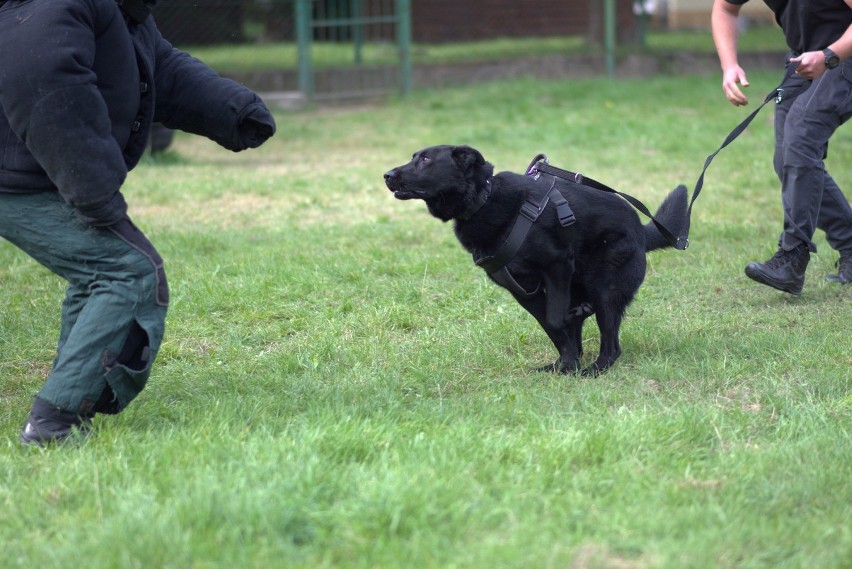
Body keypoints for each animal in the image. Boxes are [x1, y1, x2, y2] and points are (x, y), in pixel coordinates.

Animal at [382, 144, 688, 374]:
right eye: (414, 157)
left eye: (426, 159)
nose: (387, 175)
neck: (483, 199)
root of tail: (642, 231)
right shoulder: (522, 291)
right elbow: (553, 327)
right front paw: (566, 365)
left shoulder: (557, 266)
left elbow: (555, 319)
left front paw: (572, 358)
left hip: (605, 289)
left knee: (611, 344)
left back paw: (594, 370)